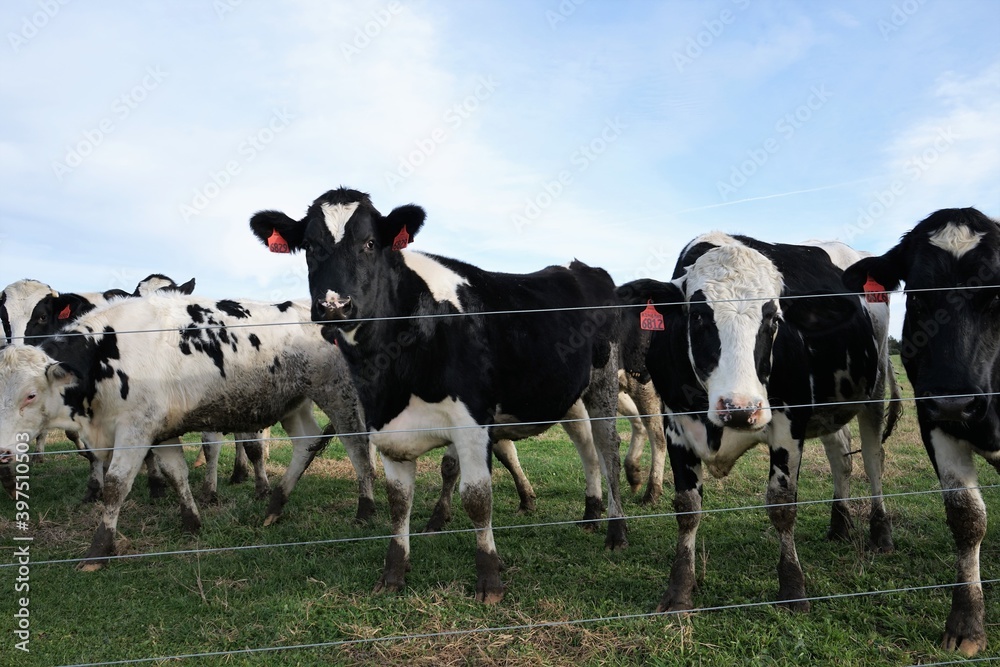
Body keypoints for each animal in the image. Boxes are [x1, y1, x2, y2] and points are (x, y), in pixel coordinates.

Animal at [0, 294, 376, 572]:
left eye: (30, 395)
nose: (3, 451)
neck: (105, 352)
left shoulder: (136, 428)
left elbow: (116, 486)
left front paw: (98, 551)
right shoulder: (159, 429)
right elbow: (175, 472)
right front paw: (192, 521)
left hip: (338, 395)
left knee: (358, 448)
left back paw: (365, 509)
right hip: (295, 404)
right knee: (307, 442)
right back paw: (275, 505)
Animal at [250, 185, 624, 604]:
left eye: (370, 243)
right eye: (311, 246)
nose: (334, 306)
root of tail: (577, 266)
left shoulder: (472, 423)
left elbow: (477, 499)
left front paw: (489, 580)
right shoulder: (386, 427)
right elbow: (399, 503)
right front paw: (394, 573)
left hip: (604, 382)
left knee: (608, 449)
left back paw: (616, 530)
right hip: (566, 394)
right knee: (586, 446)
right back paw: (591, 514)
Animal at [616, 234, 900, 616]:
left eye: (774, 320)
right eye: (698, 316)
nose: (740, 409)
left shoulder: (788, 423)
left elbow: (781, 505)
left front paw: (793, 589)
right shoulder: (676, 425)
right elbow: (687, 507)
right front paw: (679, 592)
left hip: (874, 388)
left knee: (872, 460)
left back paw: (880, 532)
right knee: (841, 457)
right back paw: (839, 525)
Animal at [844, 209, 1000, 656]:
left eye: (997, 294)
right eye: (916, 295)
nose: (954, 402)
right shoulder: (935, 424)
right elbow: (966, 517)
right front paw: (966, 624)